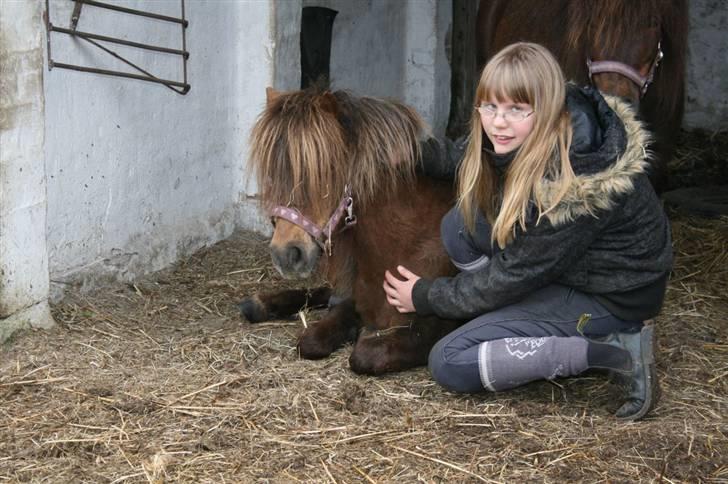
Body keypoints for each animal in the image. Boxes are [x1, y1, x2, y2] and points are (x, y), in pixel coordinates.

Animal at [239, 87, 458, 374]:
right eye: (272, 174)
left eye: (325, 172)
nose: (285, 255)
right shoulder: (357, 298)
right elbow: (312, 339)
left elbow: (364, 353)